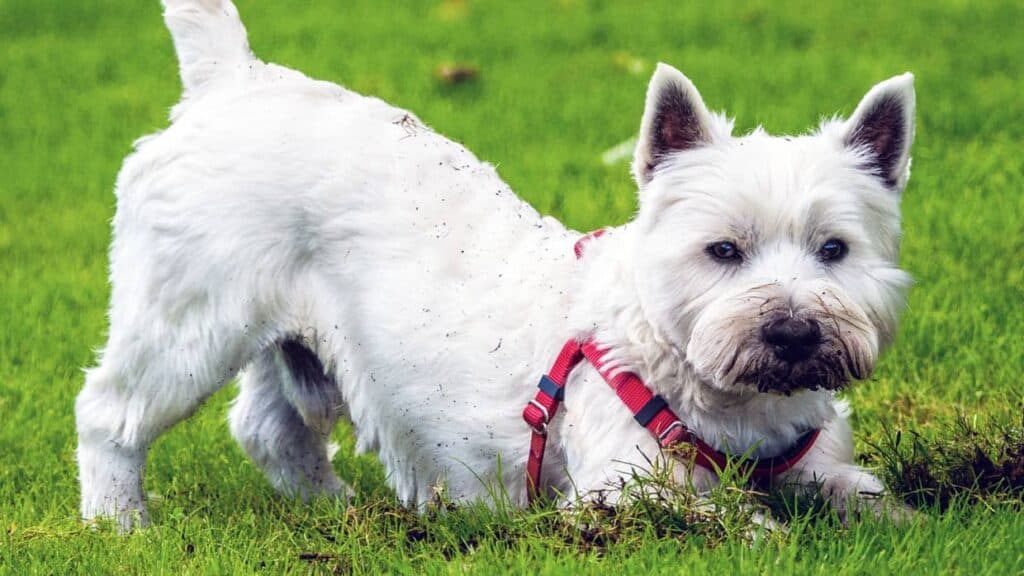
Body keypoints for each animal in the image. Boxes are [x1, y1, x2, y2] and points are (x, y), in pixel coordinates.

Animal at [75, 0, 917, 528]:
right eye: (724, 251)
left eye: (834, 249)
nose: (793, 334)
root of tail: (230, 78)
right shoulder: (624, 483)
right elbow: (726, 519)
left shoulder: (815, 459)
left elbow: (866, 494)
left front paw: (901, 519)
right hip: (190, 316)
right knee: (110, 413)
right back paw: (122, 524)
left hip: (295, 335)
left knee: (268, 428)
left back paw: (338, 509)